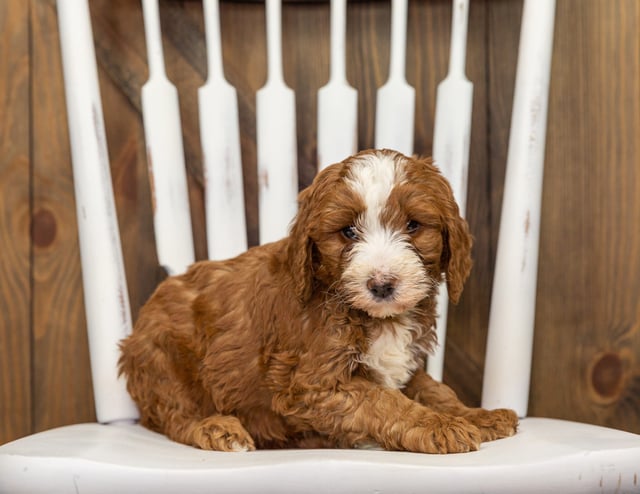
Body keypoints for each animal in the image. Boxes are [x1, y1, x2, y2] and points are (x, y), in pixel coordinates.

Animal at [120, 149, 516, 454]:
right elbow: (383, 401)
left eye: (414, 226)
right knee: (176, 415)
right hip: (163, 361)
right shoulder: (310, 383)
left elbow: (435, 390)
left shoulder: (404, 367)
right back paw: (218, 429)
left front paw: (475, 415)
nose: (382, 285)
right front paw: (441, 427)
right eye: (348, 231)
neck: (375, 316)